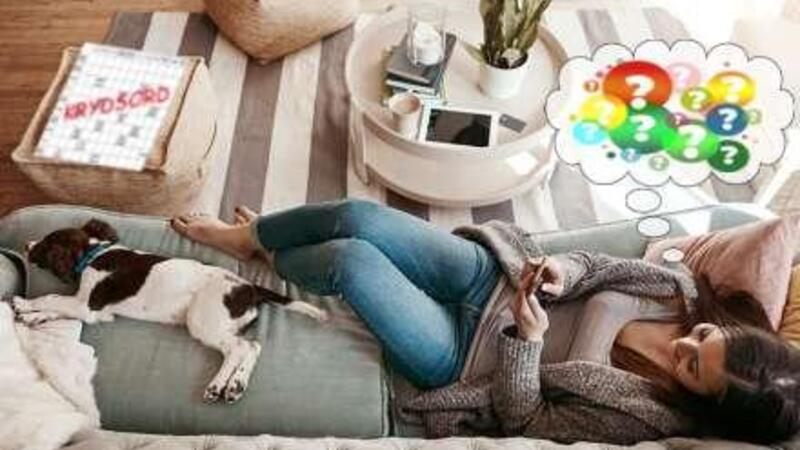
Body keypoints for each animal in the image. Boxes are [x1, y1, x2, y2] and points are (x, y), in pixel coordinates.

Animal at [11, 219, 327, 404]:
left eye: (44, 245)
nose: (25, 244)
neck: (93, 253)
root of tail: (249, 286)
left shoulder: (88, 305)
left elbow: (53, 297)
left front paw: (24, 305)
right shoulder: (95, 311)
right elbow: (58, 308)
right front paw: (33, 316)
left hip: (202, 320)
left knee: (238, 348)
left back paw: (217, 386)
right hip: (226, 324)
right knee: (253, 346)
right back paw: (236, 385)